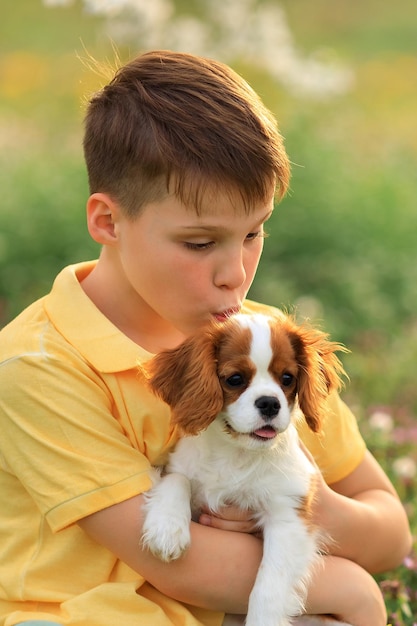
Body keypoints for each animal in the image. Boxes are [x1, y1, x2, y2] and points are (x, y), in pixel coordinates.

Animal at [141, 312, 346, 624]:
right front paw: (167, 529)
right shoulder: (178, 466)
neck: (237, 452)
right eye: (235, 379)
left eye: (287, 378)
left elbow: (270, 584)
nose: (270, 403)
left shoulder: (288, 515)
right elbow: (177, 480)